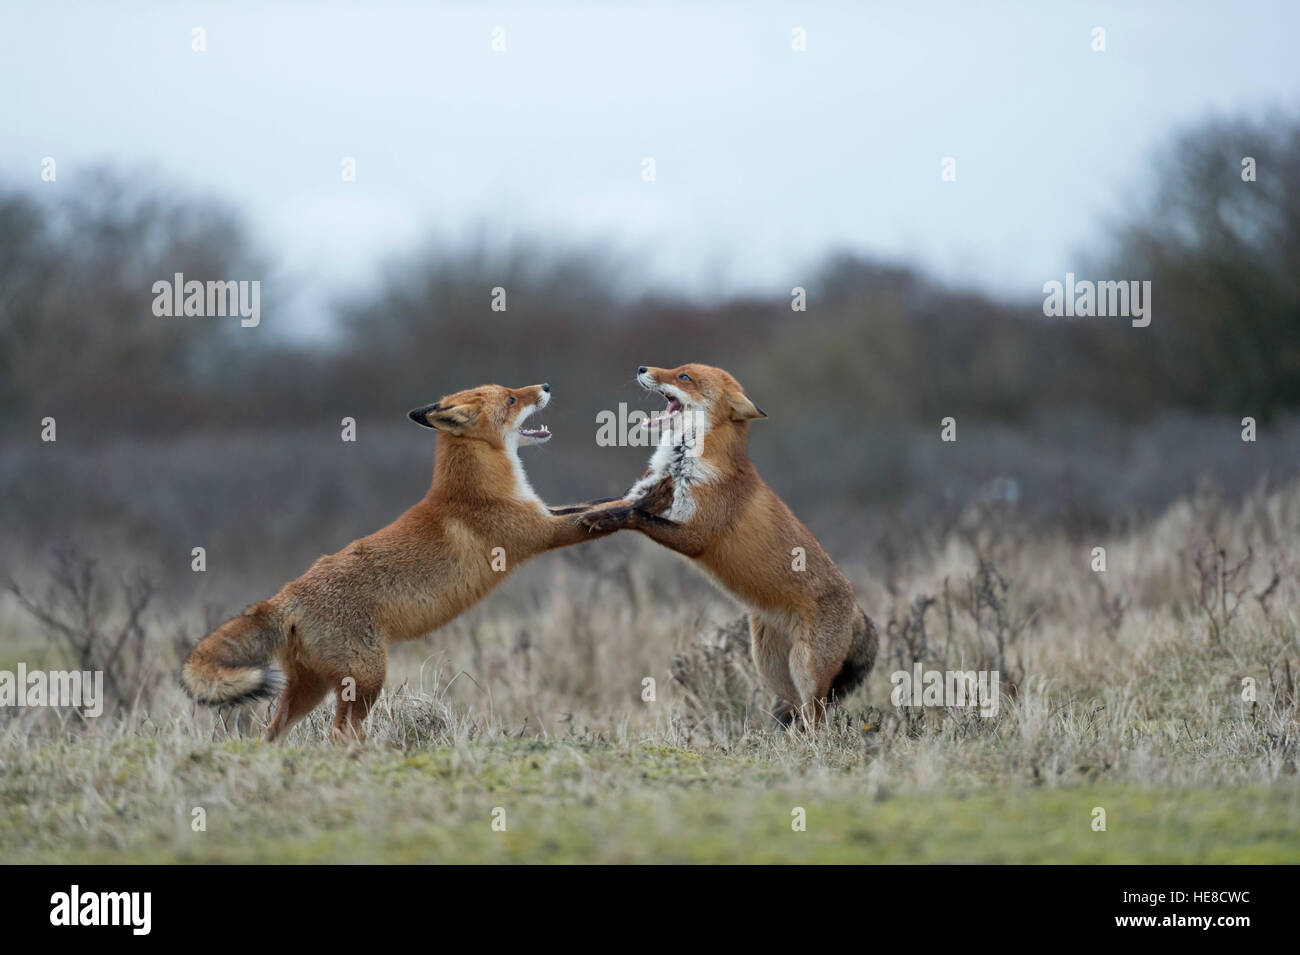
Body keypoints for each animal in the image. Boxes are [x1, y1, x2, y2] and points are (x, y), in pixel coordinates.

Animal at [183, 384, 670, 743]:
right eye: (512, 398)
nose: (545, 386)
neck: (478, 489)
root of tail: (286, 594)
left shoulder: (546, 513)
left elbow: (599, 501)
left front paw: (646, 488)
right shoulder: (540, 533)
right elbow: (607, 515)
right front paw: (650, 502)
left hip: (313, 687)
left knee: (273, 731)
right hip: (365, 679)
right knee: (340, 732)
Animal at [582, 361, 878, 727]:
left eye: (684, 377)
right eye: (678, 368)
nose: (641, 368)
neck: (683, 465)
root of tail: (855, 604)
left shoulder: (695, 535)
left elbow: (637, 515)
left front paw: (604, 520)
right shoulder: (645, 492)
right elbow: (603, 505)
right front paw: (587, 514)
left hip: (806, 669)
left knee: (817, 716)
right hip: (771, 667)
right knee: (793, 709)